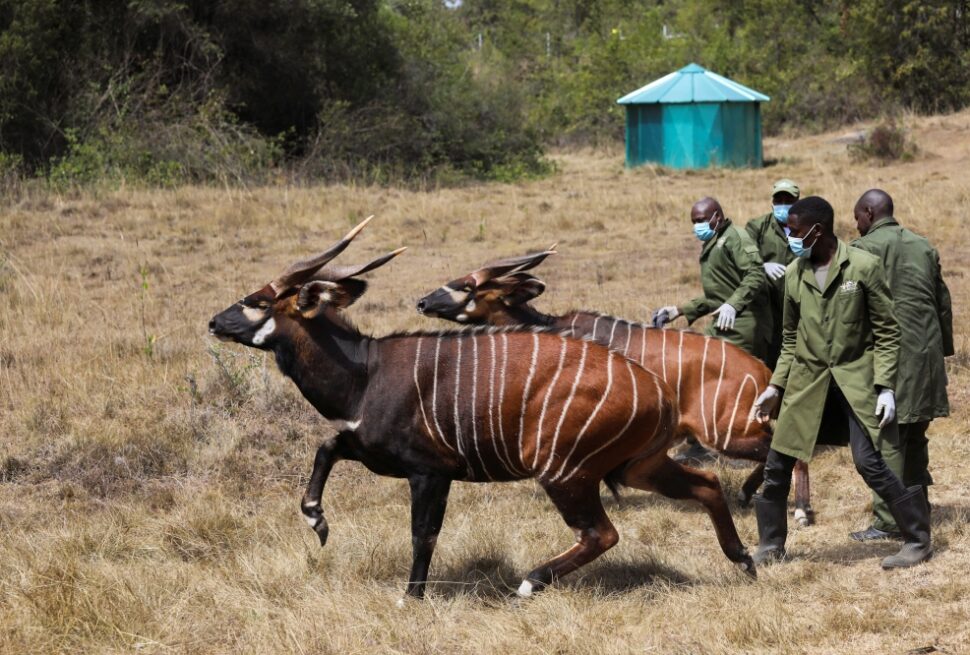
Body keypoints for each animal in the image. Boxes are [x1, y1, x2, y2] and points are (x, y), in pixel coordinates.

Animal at [208, 222, 756, 604]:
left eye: (256, 301)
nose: (214, 321)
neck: (365, 371)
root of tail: (657, 392)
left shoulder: (429, 472)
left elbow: (423, 534)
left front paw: (411, 598)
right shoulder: (369, 448)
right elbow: (326, 449)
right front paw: (317, 522)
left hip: (565, 473)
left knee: (602, 532)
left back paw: (529, 583)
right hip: (635, 467)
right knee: (707, 484)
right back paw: (745, 560)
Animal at [414, 247, 808, 528]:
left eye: (467, 286)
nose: (422, 301)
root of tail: (763, 370)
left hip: (726, 432)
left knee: (785, 450)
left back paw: (800, 510)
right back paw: (749, 495)